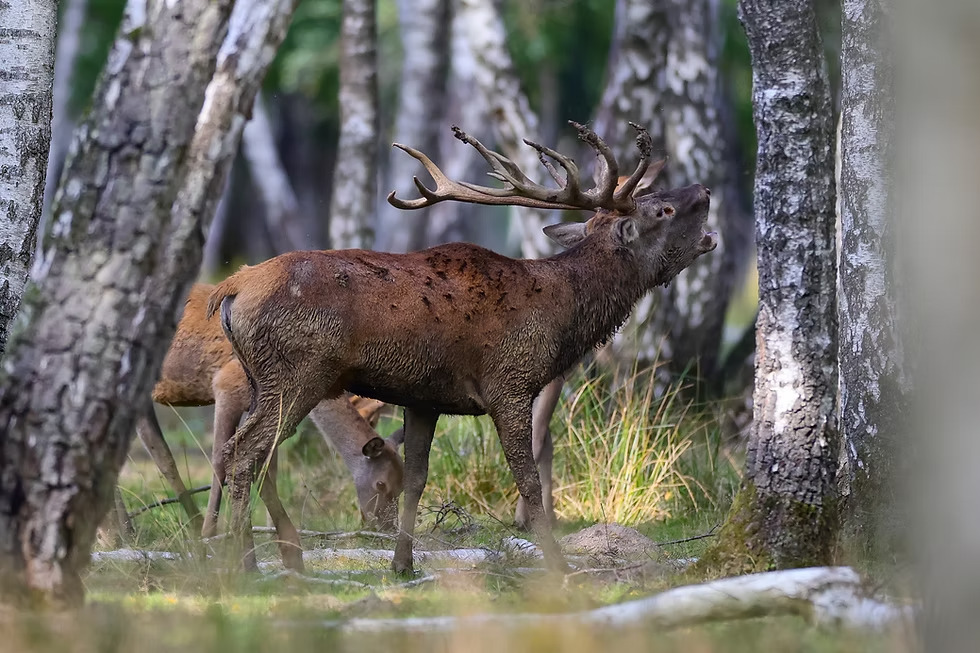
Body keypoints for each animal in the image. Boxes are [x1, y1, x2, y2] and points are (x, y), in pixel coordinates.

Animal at [132, 284, 404, 569]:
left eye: (402, 486)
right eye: (381, 484)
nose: (386, 529)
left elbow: (265, 467)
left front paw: (278, 541)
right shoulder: (226, 386)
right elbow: (221, 461)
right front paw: (213, 537)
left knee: (156, 451)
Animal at [205, 121, 717, 574]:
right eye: (661, 211)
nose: (704, 190)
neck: (561, 319)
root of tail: (231, 287)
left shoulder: (423, 397)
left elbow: (416, 478)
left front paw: (403, 563)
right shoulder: (509, 382)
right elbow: (527, 478)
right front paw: (556, 566)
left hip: (260, 378)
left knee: (246, 454)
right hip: (298, 373)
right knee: (244, 453)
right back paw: (247, 564)